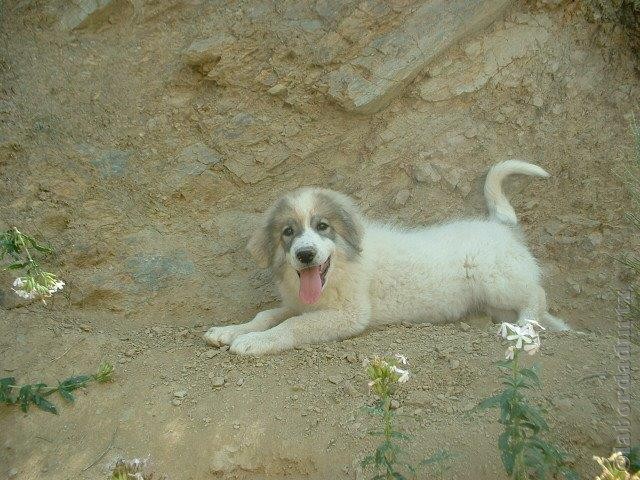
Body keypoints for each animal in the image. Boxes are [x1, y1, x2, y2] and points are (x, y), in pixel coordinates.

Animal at [204, 159, 564, 354]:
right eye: (288, 232)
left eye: (322, 227)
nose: (305, 255)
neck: (338, 273)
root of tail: (500, 226)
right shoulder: (299, 303)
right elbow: (267, 315)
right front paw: (229, 330)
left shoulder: (349, 314)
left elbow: (293, 325)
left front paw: (255, 341)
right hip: (497, 297)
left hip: (496, 280)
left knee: (537, 295)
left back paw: (524, 328)